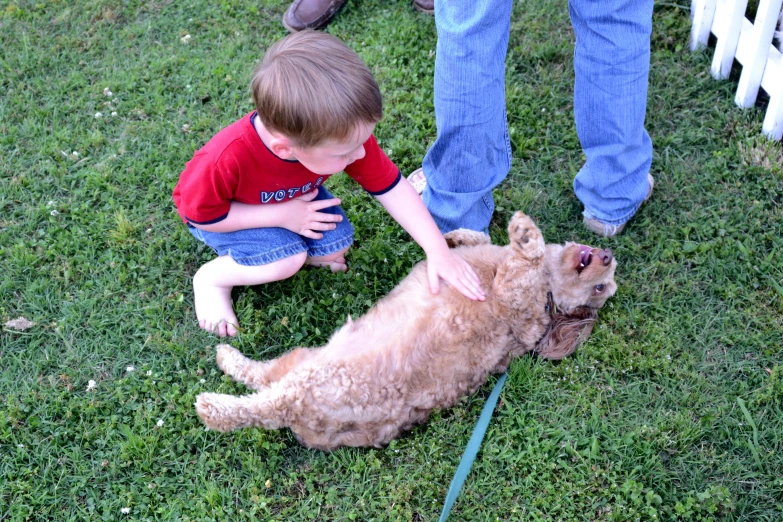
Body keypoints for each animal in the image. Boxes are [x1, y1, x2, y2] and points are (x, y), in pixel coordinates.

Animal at [196, 210, 620, 446]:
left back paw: (213, 407)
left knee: (263, 406)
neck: (548, 294)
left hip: (322, 381)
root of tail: (311, 429)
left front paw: (528, 236)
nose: (606, 255)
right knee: (260, 375)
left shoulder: (514, 297)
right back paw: (227, 357)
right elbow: (474, 237)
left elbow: (525, 260)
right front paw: (452, 236)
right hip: (302, 361)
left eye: (601, 289)